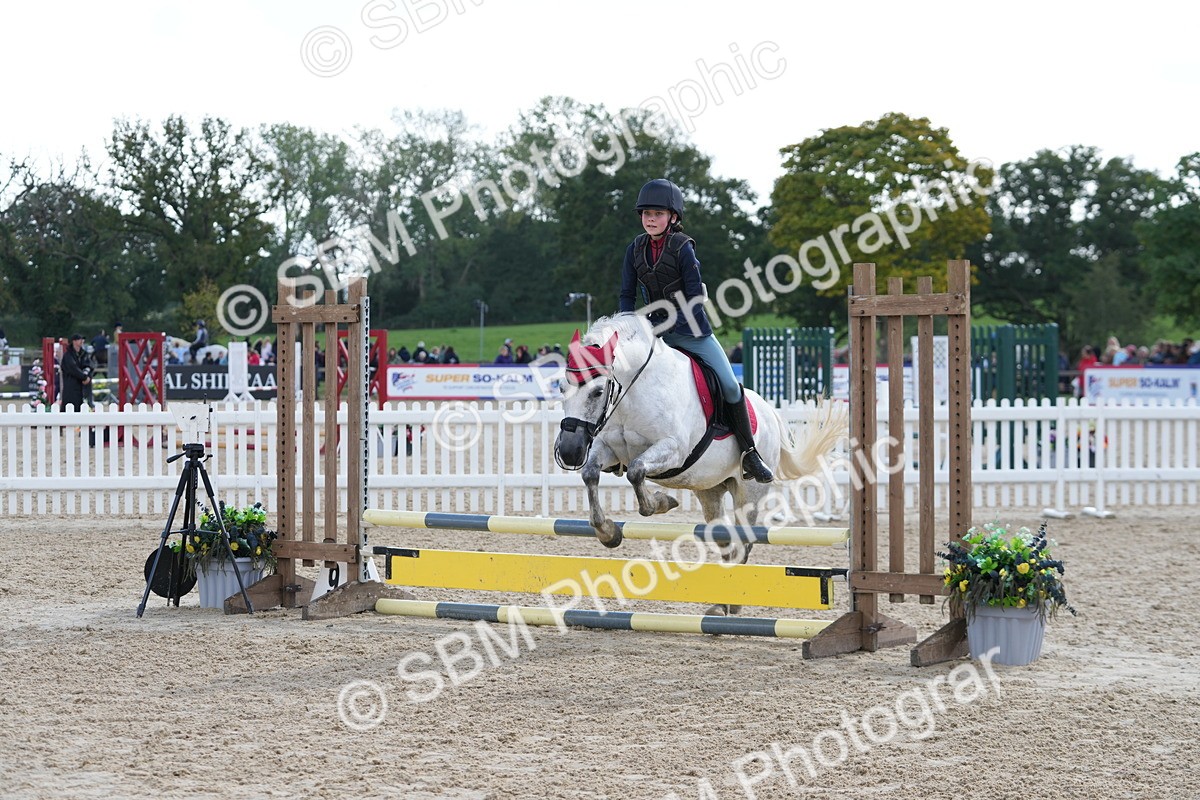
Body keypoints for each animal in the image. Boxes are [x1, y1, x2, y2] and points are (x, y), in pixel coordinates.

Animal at [554, 313, 847, 613]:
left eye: (597, 391)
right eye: (561, 387)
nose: (569, 452)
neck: (634, 392)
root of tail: (770, 411)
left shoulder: (673, 449)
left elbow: (636, 472)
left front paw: (661, 502)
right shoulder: (608, 450)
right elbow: (591, 475)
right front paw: (608, 532)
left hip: (749, 493)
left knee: (743, 542)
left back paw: (735, 602)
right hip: (709, 490)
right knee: (725, 540)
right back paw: (721, 604)